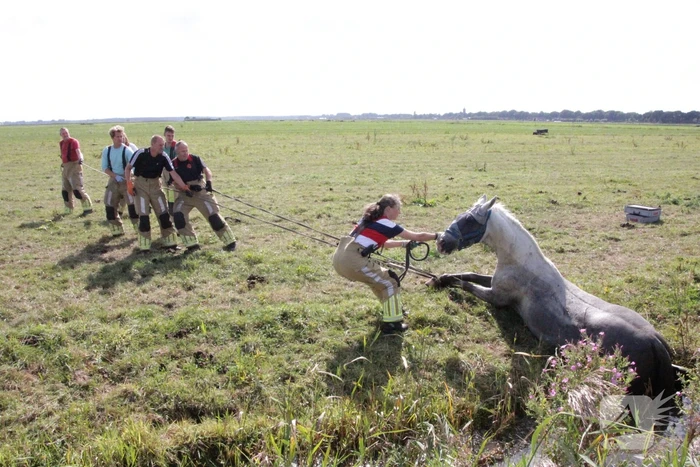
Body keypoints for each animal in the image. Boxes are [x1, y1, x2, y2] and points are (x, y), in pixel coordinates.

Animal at [429, 194, 676, 402]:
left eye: (469, 221)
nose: (441, 242)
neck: (520, 262)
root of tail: (654, 340)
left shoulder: (497, 297)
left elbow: (467, 284)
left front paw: (438, 281)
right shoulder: (493, 283)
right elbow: (469, 274)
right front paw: (439, 278)